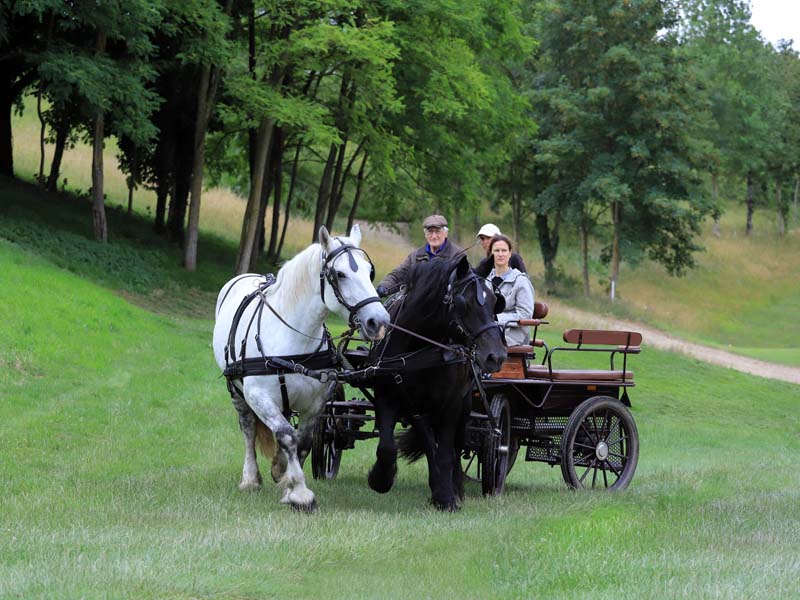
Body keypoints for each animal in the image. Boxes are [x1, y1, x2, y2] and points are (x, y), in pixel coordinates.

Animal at [211, 225, 390, 510]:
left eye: (369, 271)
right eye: (340, 274)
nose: (379, 321)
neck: (292, 338)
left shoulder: (317, 403)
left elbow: (302, 442)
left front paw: (287, 482)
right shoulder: (258, 395)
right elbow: (286, 435)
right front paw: (300, 493)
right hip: (236, 390)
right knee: (248, 428)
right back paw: (250, 478)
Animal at [368, 254, 506, 510]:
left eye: (495, 302)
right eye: (465, 303)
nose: (497, 356)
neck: (418, 348)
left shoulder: (449, 405)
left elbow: (446, 453)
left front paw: (447, 497)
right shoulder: (389, 397)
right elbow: (388, 447)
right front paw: (380, 479)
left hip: (464, 406)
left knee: (455, 446)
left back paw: (455, 488)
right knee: (430, 443)